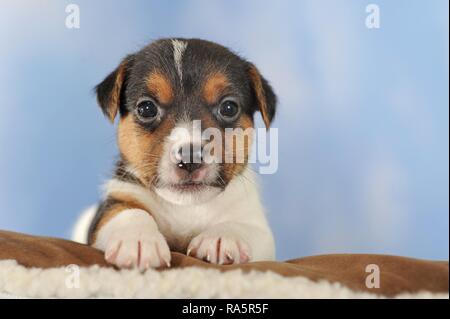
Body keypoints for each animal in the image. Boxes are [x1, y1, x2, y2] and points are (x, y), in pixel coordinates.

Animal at [73, 38, 276, 272]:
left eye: (229, 107)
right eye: (146, 108)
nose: (190, 158)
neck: (186, 207)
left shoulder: (257, 226)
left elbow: (243, 226)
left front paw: (224, 237)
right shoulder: (116, 201)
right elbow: (129, 212)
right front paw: (137, 238)